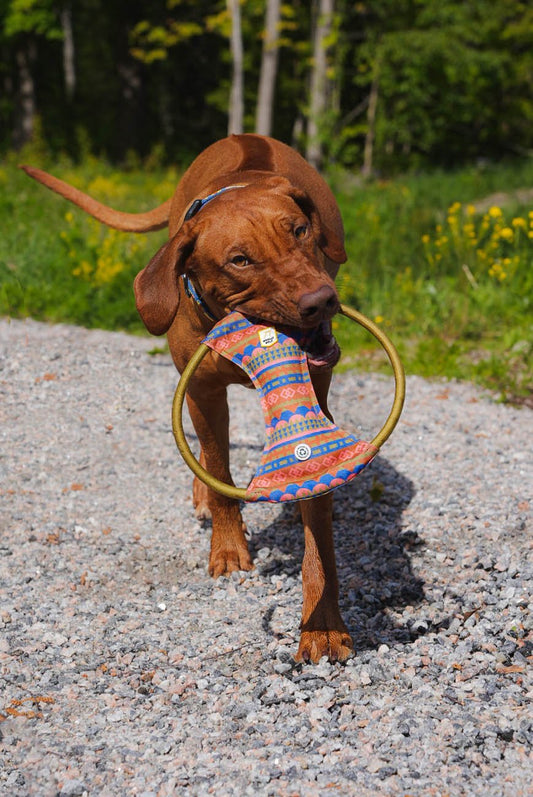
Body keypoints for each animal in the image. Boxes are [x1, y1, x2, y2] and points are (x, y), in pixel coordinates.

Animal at [21, 134, 354, 664]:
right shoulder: (200, 391)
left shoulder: (314, 398)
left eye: (300, 231)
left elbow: (316, 523)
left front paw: (322, 623)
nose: (321, 301)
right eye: (240, 260)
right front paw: (228, 547)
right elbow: (218, 467)